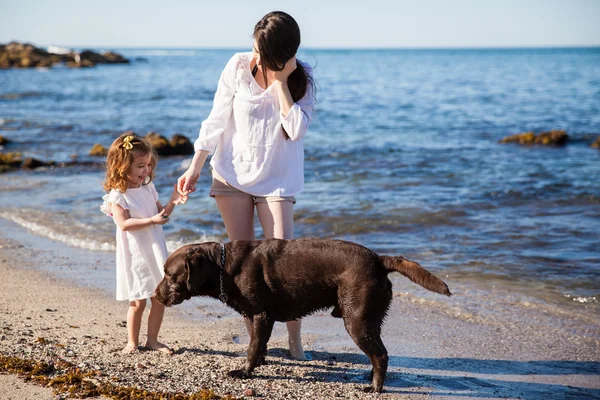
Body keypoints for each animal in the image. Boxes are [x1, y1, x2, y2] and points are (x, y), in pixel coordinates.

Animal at [155, 239, 450, 392]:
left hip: (356, 319)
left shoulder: (261, 315)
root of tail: (379, 259)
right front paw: (258, 364)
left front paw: (246, 372)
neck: (224, 267)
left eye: (170, 275)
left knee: (381, 355)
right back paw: (370, 378)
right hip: (369, 319)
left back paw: (375, 388)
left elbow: (252, 347)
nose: (156, 295)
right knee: (379, 352)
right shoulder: (257, 318)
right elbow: (257, 345)